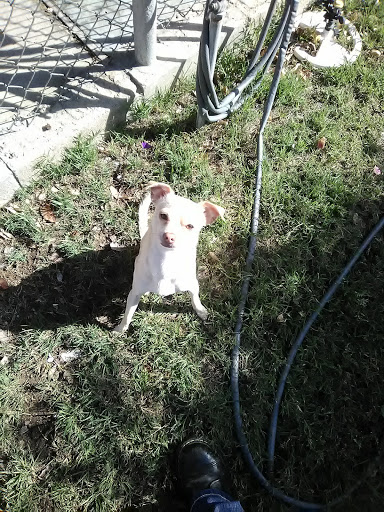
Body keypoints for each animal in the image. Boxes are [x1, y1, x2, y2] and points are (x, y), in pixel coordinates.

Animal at [112, 182, 225, 334]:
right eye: (163, 216)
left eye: (190, 226)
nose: (169, 236)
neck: (166, 260)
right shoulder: (134, 294)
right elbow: (127, 315)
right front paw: (120, 330)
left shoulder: (193, 285)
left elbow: (195, 298)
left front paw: (200, 311)